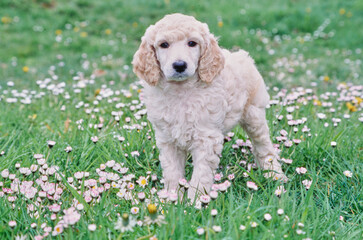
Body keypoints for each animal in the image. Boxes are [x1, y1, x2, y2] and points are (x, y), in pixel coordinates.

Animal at [132, 13, 288, 199]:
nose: (179, 65)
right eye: (164, 45)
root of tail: (243, 56)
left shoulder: (206, 137)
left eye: (192, 43)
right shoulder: (167, 138)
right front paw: (172, 198)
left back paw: (274, 174)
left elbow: (201, 174)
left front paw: (196, 201)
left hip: (254, 113)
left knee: (263, 146)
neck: (181, 91)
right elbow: (172, 172)